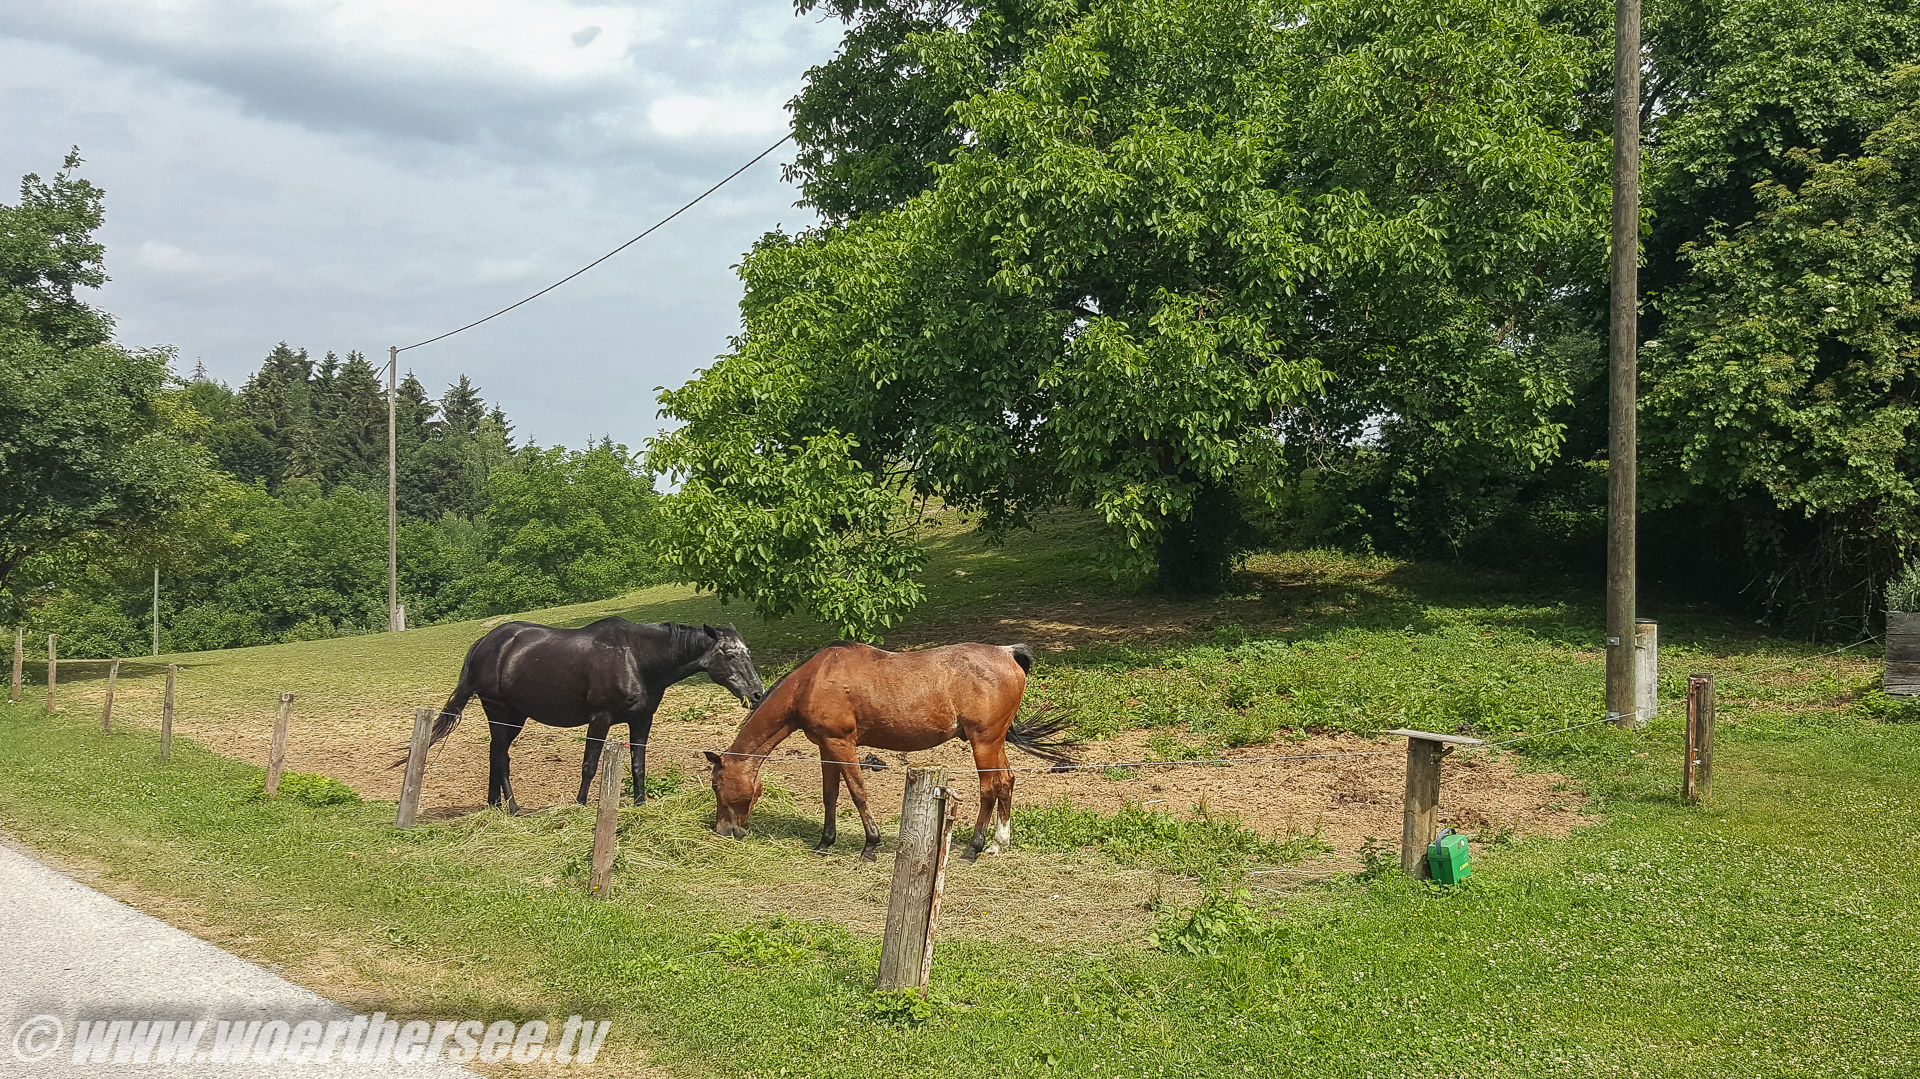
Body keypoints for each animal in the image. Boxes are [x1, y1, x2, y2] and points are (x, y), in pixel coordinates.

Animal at [426, 618, 764, 810]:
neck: (636, 658)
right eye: (730, 655)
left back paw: (495, 805)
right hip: (500, 712)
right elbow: (589, 765)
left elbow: (638, 765)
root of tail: (486, 642)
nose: (758, 693)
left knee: (496, 756)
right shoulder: (600, 720)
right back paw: (512, 807)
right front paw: (580, 804)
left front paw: (640, 804)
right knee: (500, 757)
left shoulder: (642, 720)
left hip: (514, 717)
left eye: (747, 653)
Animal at [706, 637, 1075, 856]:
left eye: (716, 785)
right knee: (1006, 782)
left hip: (983, 742)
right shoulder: (827, 747)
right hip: (993, 742)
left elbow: (857, 791)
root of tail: (1007, 653)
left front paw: (871, 843)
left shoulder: (842, 744)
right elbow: (830, 794)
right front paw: (825, 841)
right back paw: (999, 843)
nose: (724, 830)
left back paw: (975, 846)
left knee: (989, 787)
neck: (811, 682)